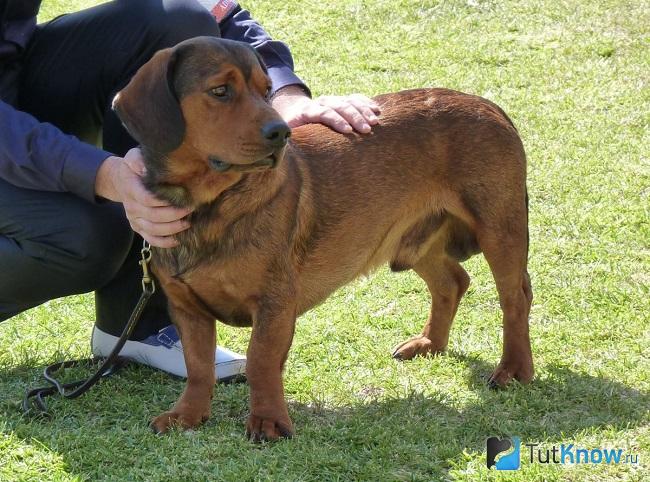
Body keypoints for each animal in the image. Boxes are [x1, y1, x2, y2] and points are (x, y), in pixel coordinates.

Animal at [112, 36, 532, 440]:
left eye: (266, 90)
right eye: (220, 91)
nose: (280, 132)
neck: (210, 206)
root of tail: (489, 106)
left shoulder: (275, 303)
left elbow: (261, 361)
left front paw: (268, 422)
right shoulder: (187, 308)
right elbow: (199, 367)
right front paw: (187, 415)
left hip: (500, 230)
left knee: (515, 298)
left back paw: (513, 370)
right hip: (415, 243)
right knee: (452, 282)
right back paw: (430, 344)